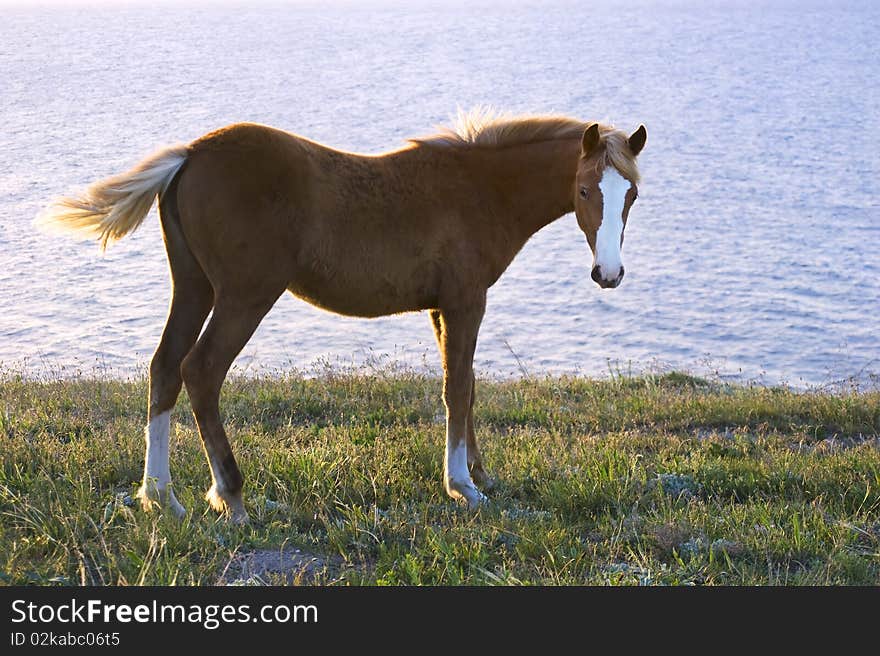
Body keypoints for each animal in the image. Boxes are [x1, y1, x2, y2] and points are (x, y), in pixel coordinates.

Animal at [39, 109, 648, 524]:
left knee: (164, 368)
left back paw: (161, 496)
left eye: (632, 196)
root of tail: (189, 153)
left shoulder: (441, 306)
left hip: (193, 285)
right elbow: (457, 387)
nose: (609, 274)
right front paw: (461, 486)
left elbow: (467, 384)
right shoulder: (465, 300)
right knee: (201, 370)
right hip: (245, 293)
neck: (478, 189)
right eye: (585, 189)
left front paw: (480, 474)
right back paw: (230, 495)